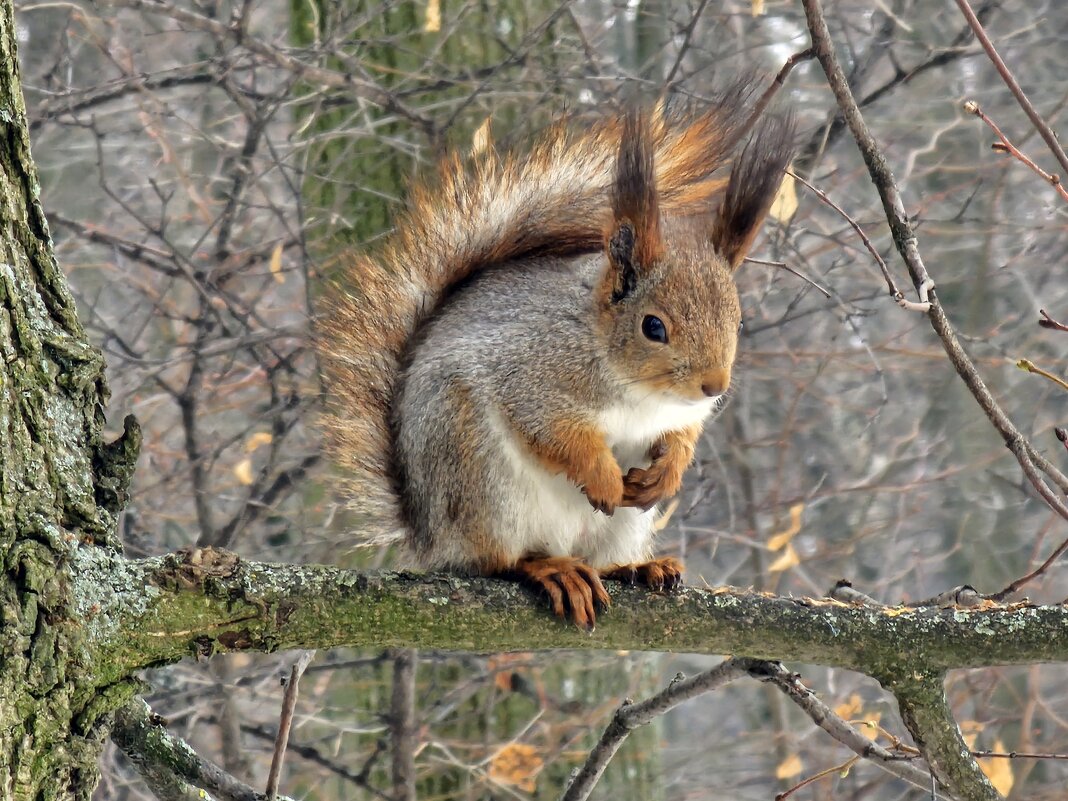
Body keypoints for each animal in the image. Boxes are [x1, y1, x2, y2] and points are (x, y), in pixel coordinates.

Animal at [320, 93, 798, 632]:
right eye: (653, 327)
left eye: (738, 322)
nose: (713, 385)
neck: (639, 391)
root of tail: (431, 538)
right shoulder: (527, 374)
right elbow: (555, 433)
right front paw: (604, 476)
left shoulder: (680, 415)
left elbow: (681, 436)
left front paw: (666, 474)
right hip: (477, 471)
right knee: (498, 561)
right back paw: (548, 568)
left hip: (620, 525)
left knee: (600, 558)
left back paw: (636, 567)